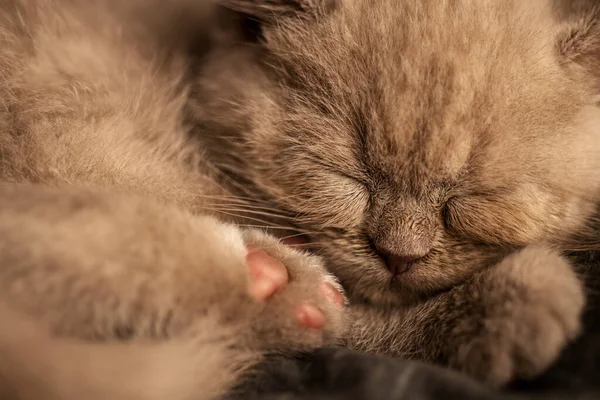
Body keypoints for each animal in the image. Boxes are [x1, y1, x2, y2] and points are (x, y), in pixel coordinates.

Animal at [0, 0, 596, 400]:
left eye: (474, 199)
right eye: (348, 177)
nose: (398, 254)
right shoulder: (76, 133)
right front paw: (505, 303)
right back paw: (272, 283)